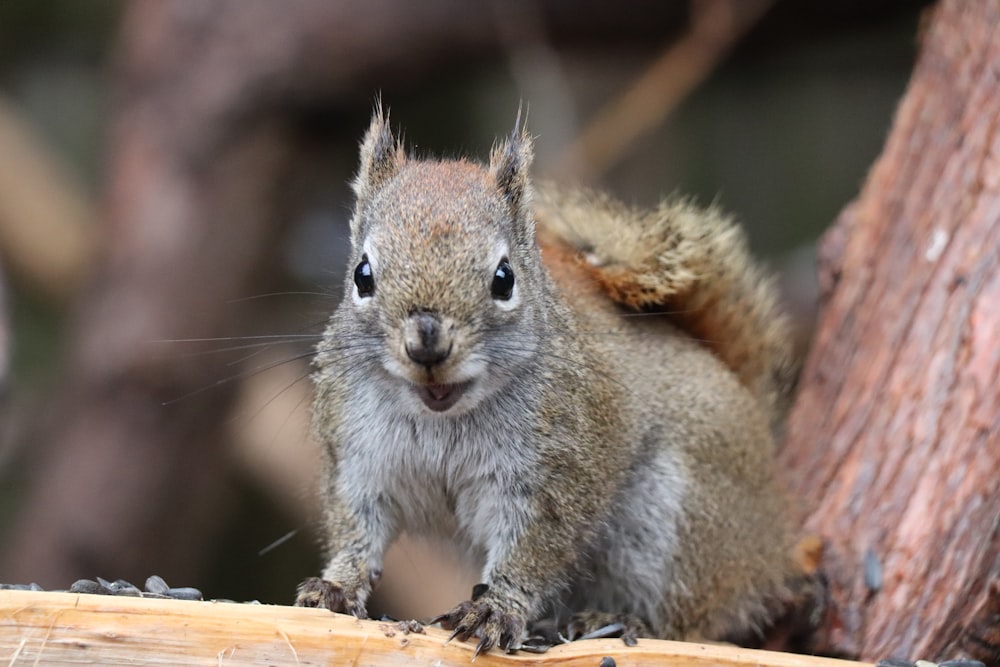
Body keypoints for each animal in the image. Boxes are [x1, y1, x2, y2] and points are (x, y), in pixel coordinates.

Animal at [292, 105, 800, 656]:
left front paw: (496, 610)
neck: (443, 416)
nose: (427, 343)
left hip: (677, 522)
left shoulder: (556, 475)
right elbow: (358, 528)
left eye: (504, 278)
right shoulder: (359, 456)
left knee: (690, 616)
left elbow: (533, 550)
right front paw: (335, 587)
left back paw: (620, 621)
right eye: (362, 274)